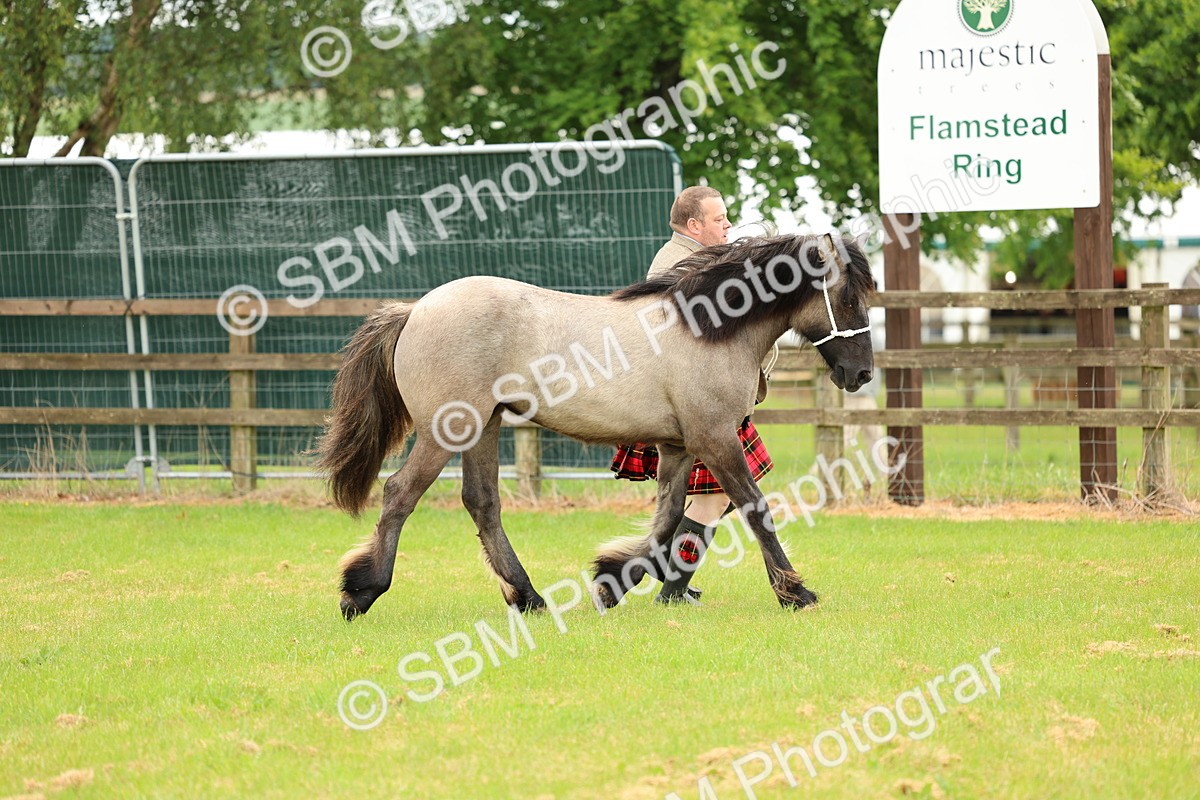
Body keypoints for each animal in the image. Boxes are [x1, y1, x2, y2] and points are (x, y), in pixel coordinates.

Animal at [316, 233, 875, 620]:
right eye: (848, 300)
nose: (861, 375)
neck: (707, 330)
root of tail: (415, 310)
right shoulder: (714, 438)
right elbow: (756, 509)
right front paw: (796, 592)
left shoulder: (678, 445)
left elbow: (668, 520)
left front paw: (611, 582)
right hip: (446, 430)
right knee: (400, 494)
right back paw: (361, 592)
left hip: (484, 428)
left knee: (482, 503)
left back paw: (529, 597)